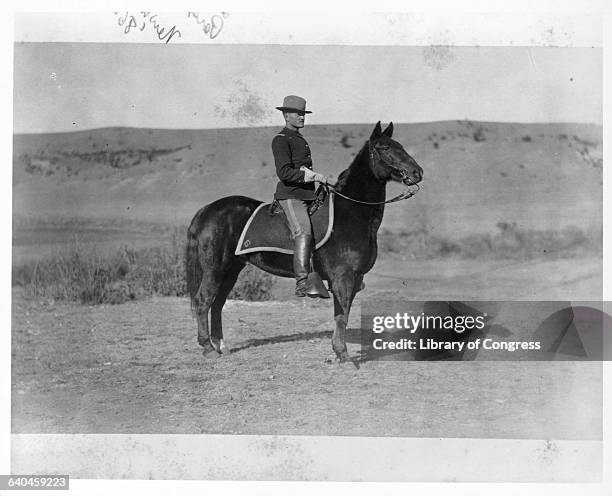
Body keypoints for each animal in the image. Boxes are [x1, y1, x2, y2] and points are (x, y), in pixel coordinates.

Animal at [186, 120, 424, 360]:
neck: (351, 212)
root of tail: (207, 210)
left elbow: (341, 313)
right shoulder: (343, 278)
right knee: (203, 301)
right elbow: (342, 315)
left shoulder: (354, 279)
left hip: (232, 269)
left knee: (217, 304)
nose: (417, 172)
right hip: (215, 269)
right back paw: (208, 348)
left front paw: (338, 352)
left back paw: (219, 346)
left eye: (400, 145)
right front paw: (342, 354)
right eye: (384, 147)